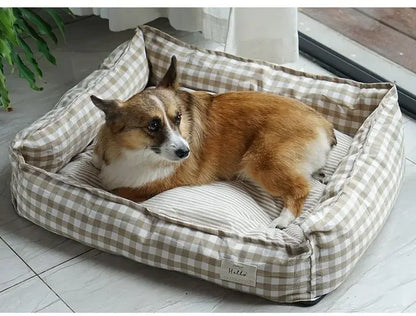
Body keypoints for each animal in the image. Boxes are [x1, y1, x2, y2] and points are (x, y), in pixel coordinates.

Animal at [90, 56, 334, 227]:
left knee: (300, 188)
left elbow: (119, 191)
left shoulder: (148, 187)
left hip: (261, 161)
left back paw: (283, 221)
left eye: (178, 118)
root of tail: (323, 124)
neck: (137, 152)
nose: (185, 152)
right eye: (153, 125)